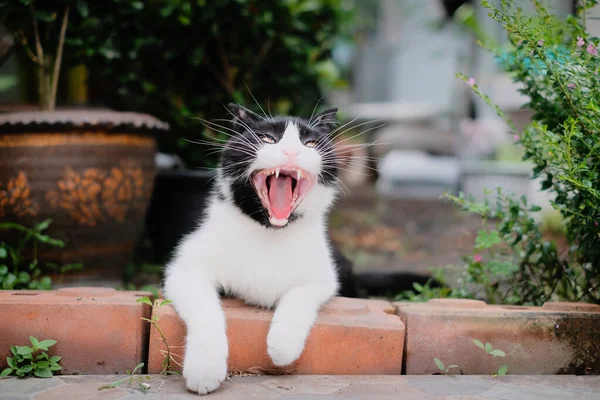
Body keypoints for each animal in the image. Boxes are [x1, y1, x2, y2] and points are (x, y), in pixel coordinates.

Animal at [163, 103, 342, 394]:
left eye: (311, 143)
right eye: (267, 138)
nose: (291, 151)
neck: (269, 232)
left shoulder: (323, 278)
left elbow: (299, 296)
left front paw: (282, 346)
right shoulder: (185, 270)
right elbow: (205, 308)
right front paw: (205, 367)